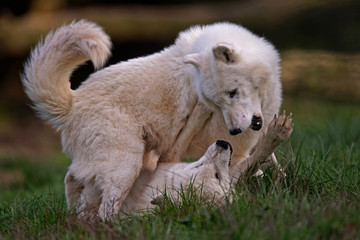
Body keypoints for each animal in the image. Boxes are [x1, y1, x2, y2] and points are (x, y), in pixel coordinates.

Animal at [21, 20, 292, 219]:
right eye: (219, 101)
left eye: (233, 93)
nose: (234, 131)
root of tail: (73, 101)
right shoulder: (187, 145)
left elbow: (268, 161)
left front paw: (280, 180)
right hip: (126, 166)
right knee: (106, 210)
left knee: (73, 180)